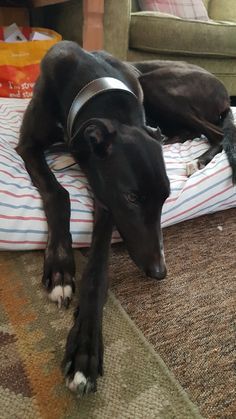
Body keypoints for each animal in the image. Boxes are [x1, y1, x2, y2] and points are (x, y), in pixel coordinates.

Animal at [16, 41, 236, 396]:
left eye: (166, 197)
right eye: (132, 197)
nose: (160, 272)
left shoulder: (106, 197)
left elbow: (98, 271)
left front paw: (85, 348)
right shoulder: (29, 146)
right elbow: (59, 194)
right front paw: (61, 267)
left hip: (163, 89)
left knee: (216, 132)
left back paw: (194, 158)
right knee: (203, 131)